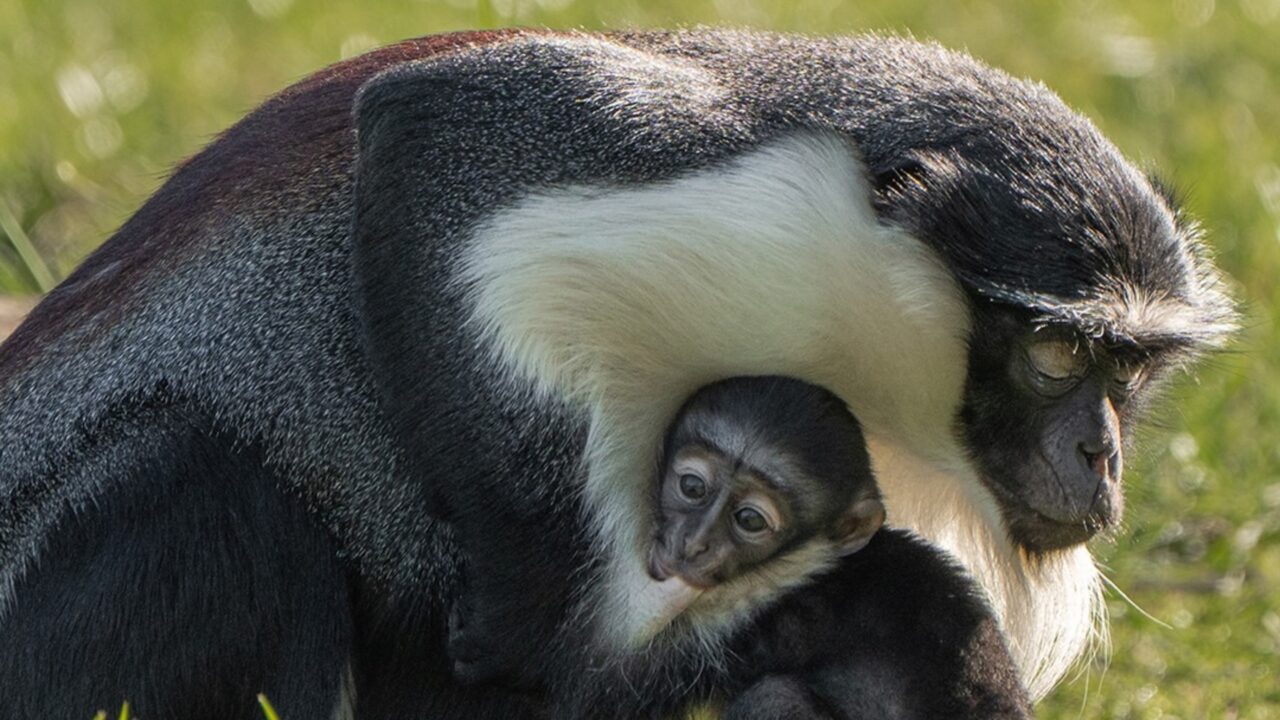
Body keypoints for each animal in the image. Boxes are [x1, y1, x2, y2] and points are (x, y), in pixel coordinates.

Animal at [0, 29, 1232, 717]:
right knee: (207, 483)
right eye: (1057, 354)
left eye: (1131, 372)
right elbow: (423, 130)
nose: (1100, 455)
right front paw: (560, 647)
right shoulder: (710, 174)